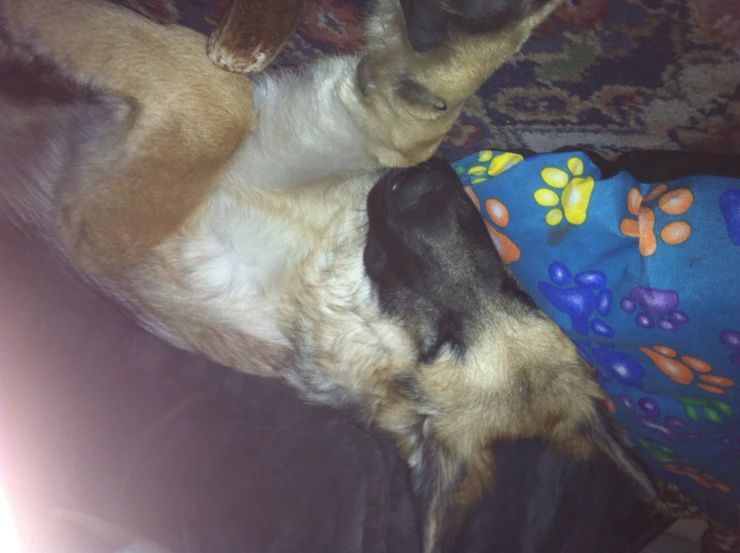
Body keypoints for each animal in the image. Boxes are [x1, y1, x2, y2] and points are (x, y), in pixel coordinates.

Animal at [0, 0, 652, 548]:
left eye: (438, 344)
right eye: (515, 287)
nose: (427, 185)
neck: (326, 262)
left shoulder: (100, 215)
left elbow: (218, 100)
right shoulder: (380, 126)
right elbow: (428, 104)